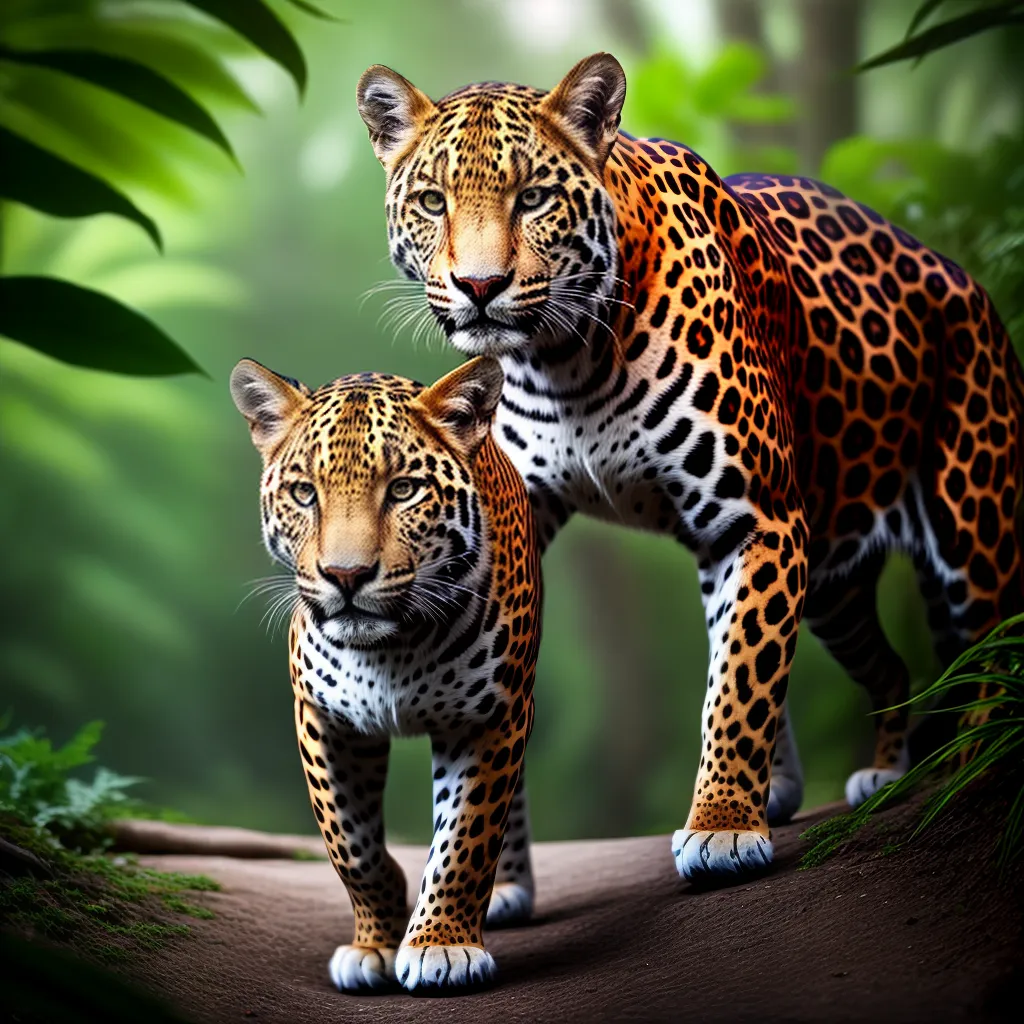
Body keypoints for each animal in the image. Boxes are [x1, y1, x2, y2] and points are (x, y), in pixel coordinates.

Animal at [230, 355, 541, 992]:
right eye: (305, 493)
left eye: (403, 490)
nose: (346, 576)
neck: (394, 648)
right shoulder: (323, 717)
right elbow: (350, 843)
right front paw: (376, 940)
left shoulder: (491, 715)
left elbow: (467, 835)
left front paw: (442, 944)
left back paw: (506, 891)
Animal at [355, 51, 1024, 889]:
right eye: (432, 201)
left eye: (533, 197)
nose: (480, 288)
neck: (562, 364)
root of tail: (961, 276)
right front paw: (500, 882)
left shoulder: (755, 518)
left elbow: (739, 683)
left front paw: (723, 826)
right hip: (834, 573)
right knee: (891, 665)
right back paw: (883, 769)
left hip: (973, 526)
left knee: (991, 648)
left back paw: (970, 762)